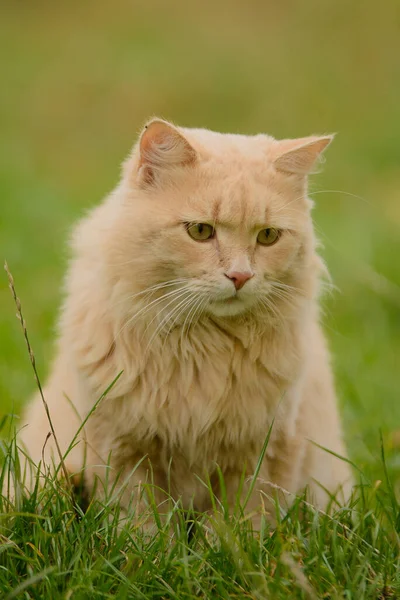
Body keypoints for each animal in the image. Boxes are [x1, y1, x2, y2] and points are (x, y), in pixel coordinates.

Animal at [12, 118, 352, 528]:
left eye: (268, 236)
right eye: (201, 231)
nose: (241, 276)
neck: (201, 346)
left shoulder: (262, 455)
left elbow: (236, 526)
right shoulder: (124, 449)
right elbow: (143, 524)